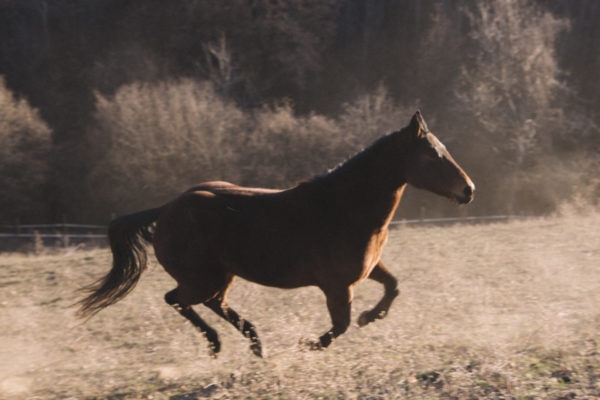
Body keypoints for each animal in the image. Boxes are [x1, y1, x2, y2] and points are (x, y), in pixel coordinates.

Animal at [77, 111, 476, 356]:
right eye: (432, 155)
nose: (469, 190)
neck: (345, 209)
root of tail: (166, 209)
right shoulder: (336, 286)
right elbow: (341, 326)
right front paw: (308, 345)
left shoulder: (367, 270)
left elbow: (393, 287)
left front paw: (370, 317)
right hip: (201, 278)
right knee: (177, 299)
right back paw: (218, 344)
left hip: (221, 276)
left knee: (212, 303)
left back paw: (255, 344)